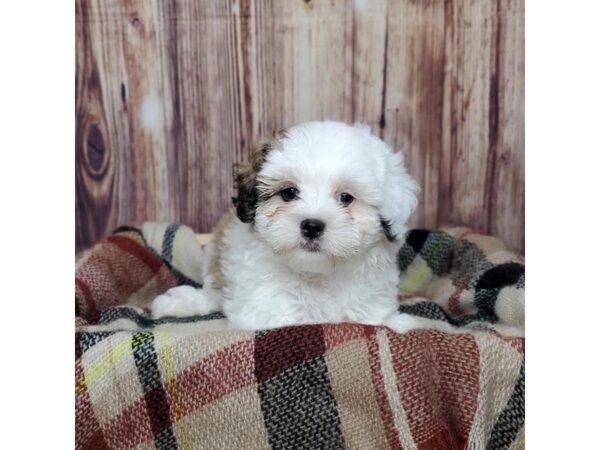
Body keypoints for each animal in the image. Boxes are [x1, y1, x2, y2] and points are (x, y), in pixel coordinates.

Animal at [152, 119, 420, 330]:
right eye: (289, 193)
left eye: (346, 197)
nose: (312, 226)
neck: (315, 274)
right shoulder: (261, 307)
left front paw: (400, 323)